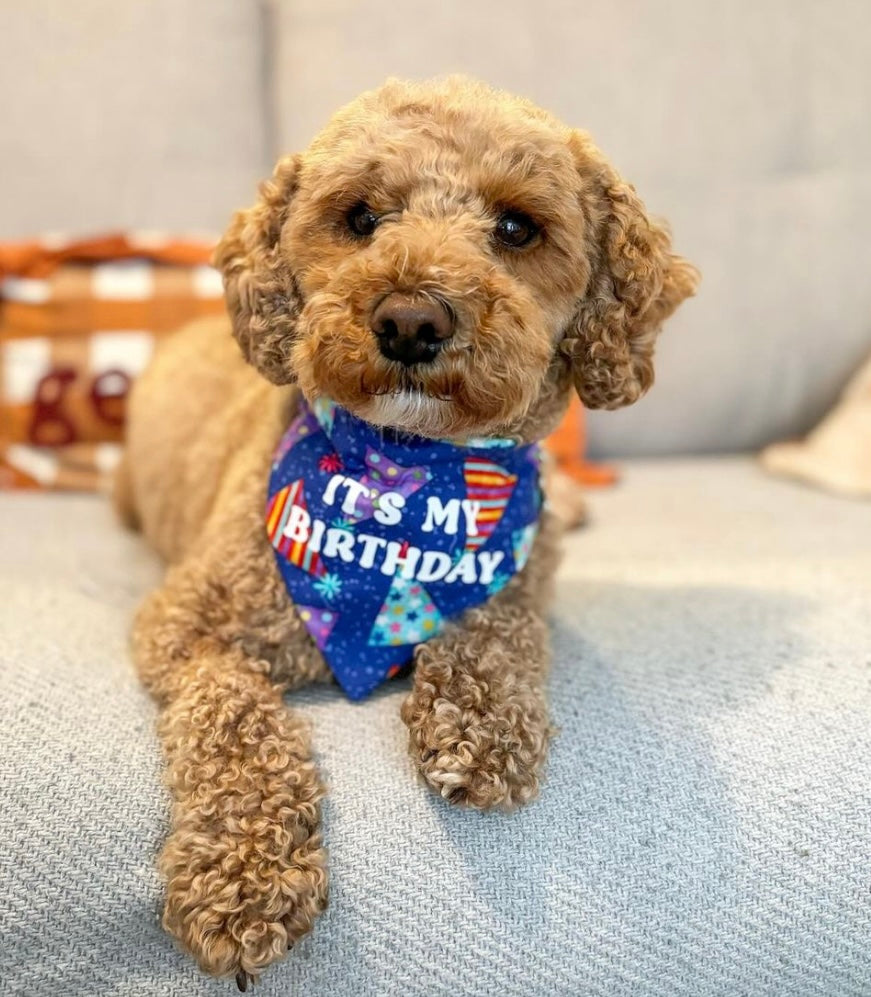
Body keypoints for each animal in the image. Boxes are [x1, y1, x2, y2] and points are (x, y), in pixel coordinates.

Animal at [119, 76, 700, 980]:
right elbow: (233, 715)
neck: (405, 483)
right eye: (360, 216)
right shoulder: (185, 624)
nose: (410, 320)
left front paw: (481, 723)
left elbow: (499, 624)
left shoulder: (519, 578)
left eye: (515, 228)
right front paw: (244, 874)